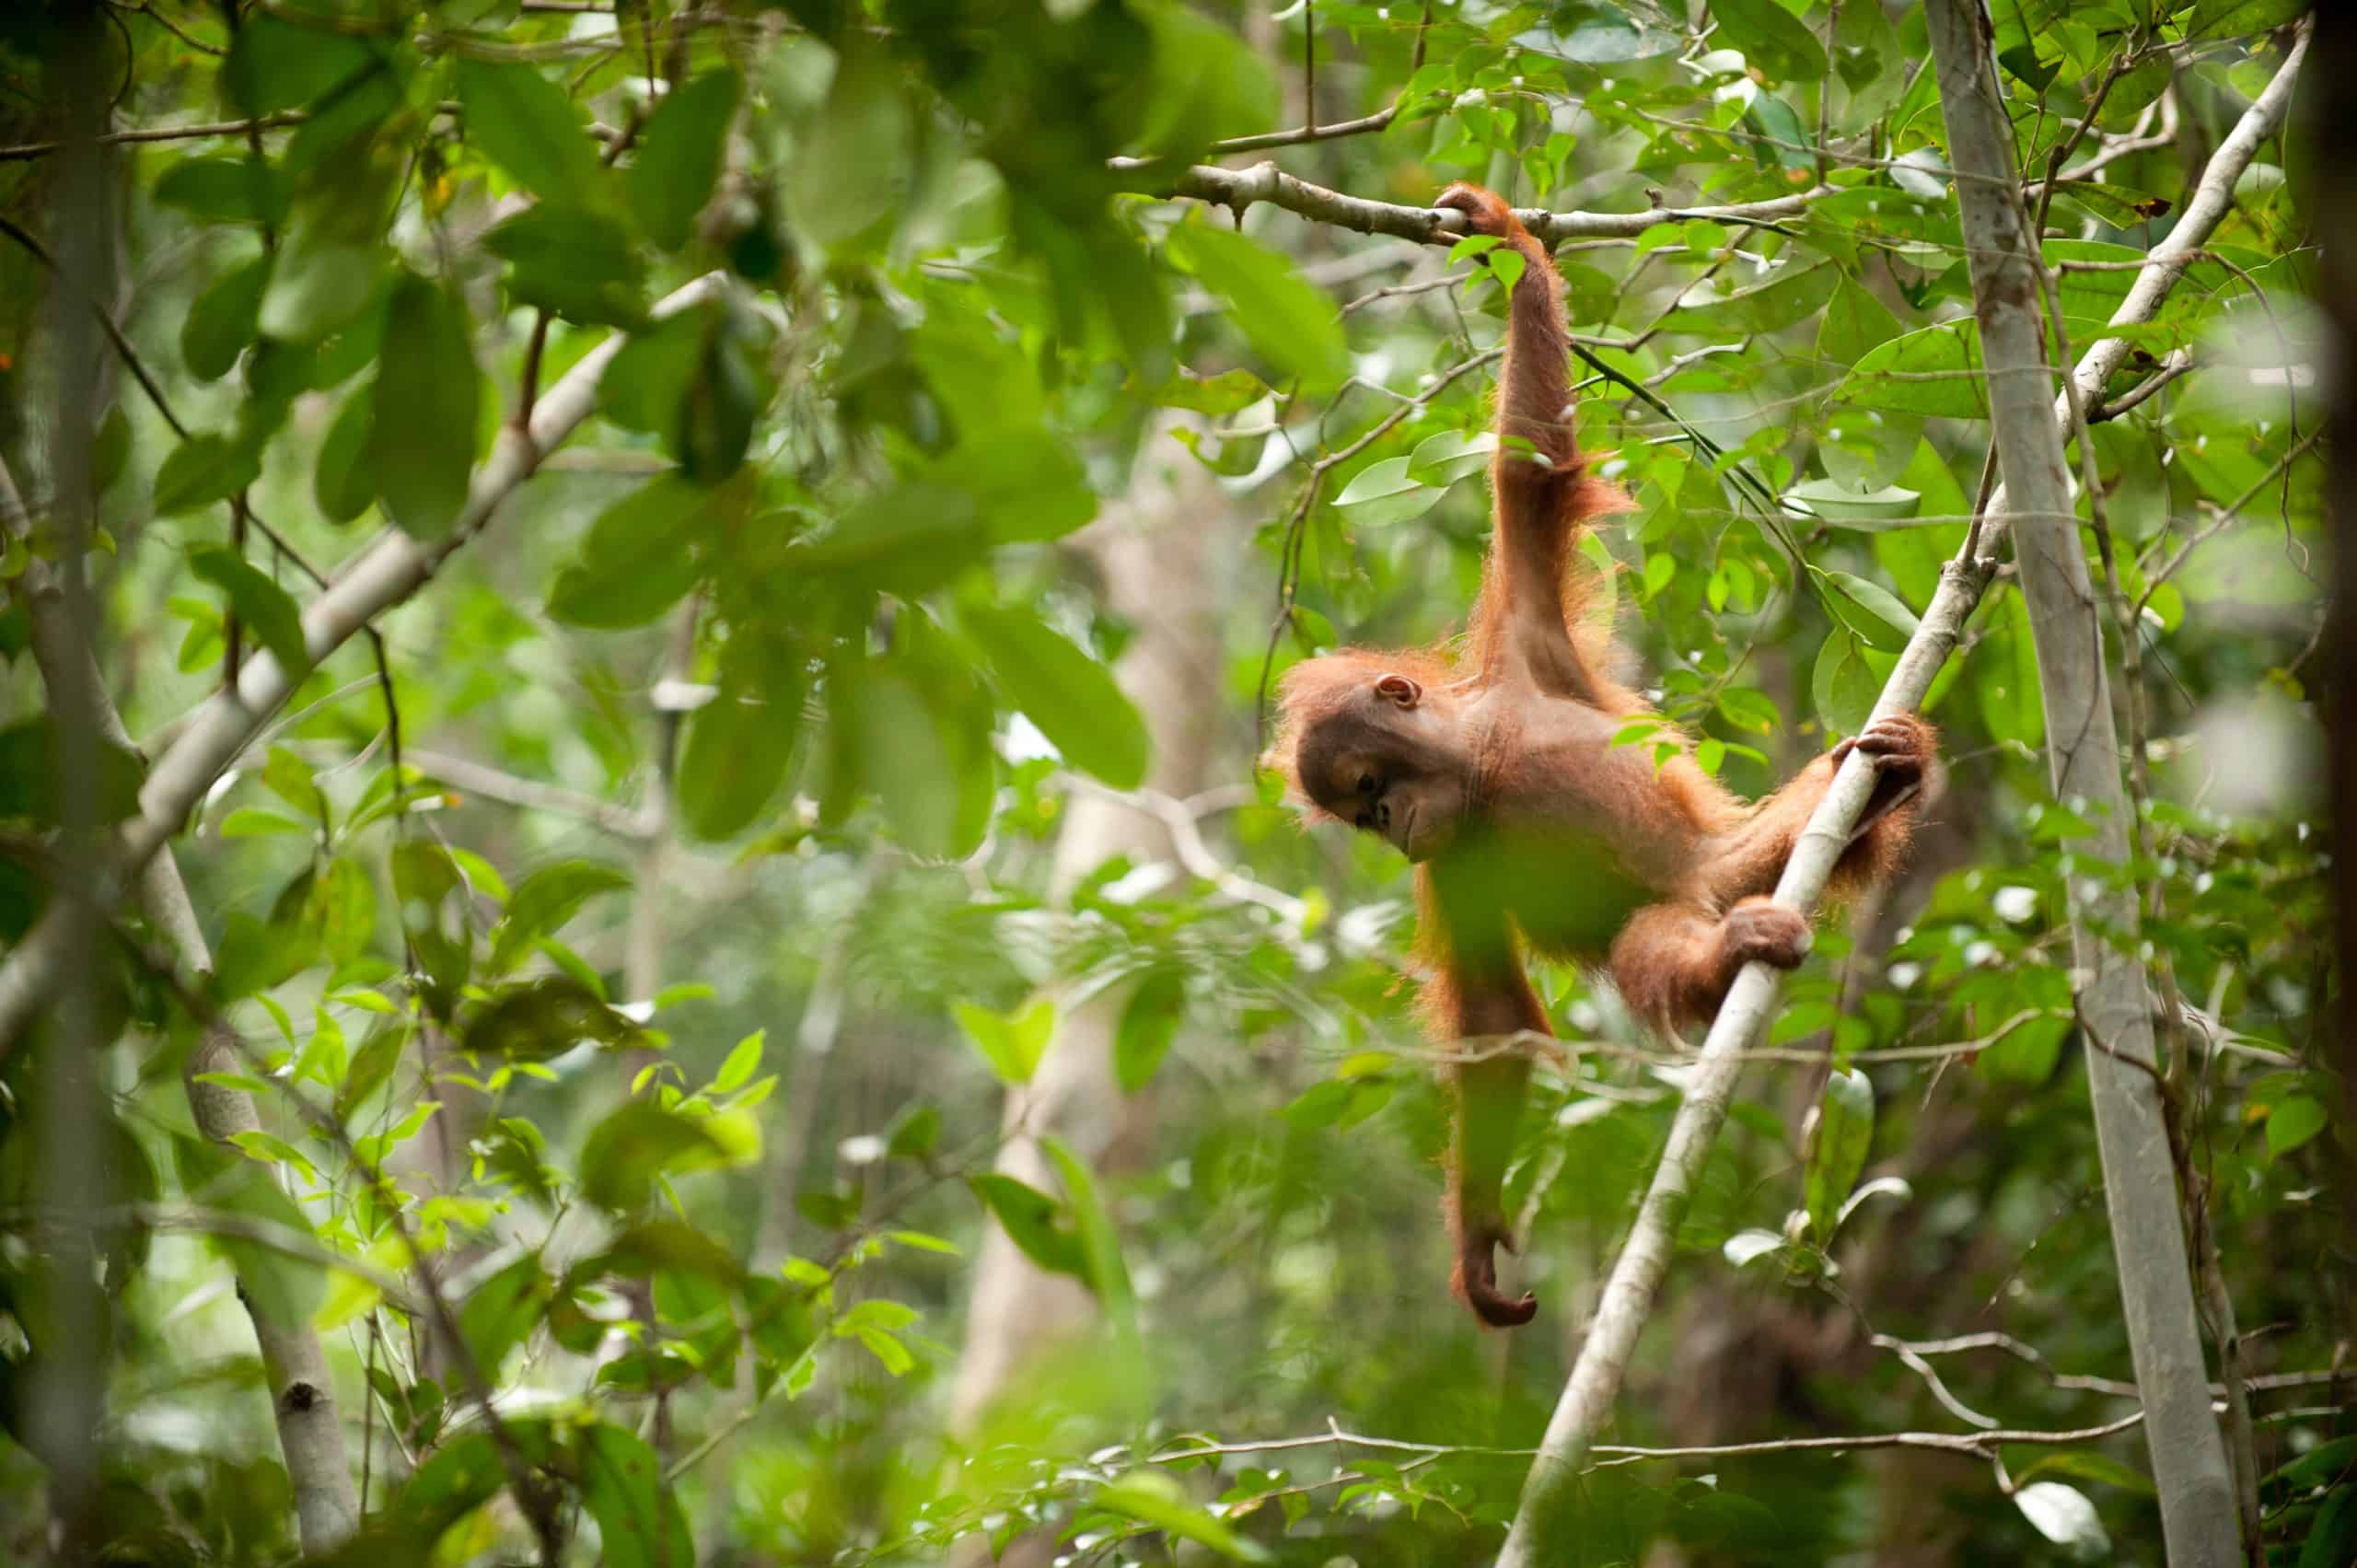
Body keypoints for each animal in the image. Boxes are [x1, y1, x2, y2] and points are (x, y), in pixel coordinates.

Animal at [1263, 184, 1936, 1328]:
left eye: (1367, 788)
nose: (1390, 831)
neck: (1483, 761)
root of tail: (1716, 885)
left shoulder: (1532, 637)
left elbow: (1530, 467)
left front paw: (1502, 238)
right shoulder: (1453, 864)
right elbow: (1496, 1021)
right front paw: (1478, 1250)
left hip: (1744, 851)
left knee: (1796, 827)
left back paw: (1896, 769)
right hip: (1703, 895)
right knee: (1648, 946)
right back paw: (1730, 949)